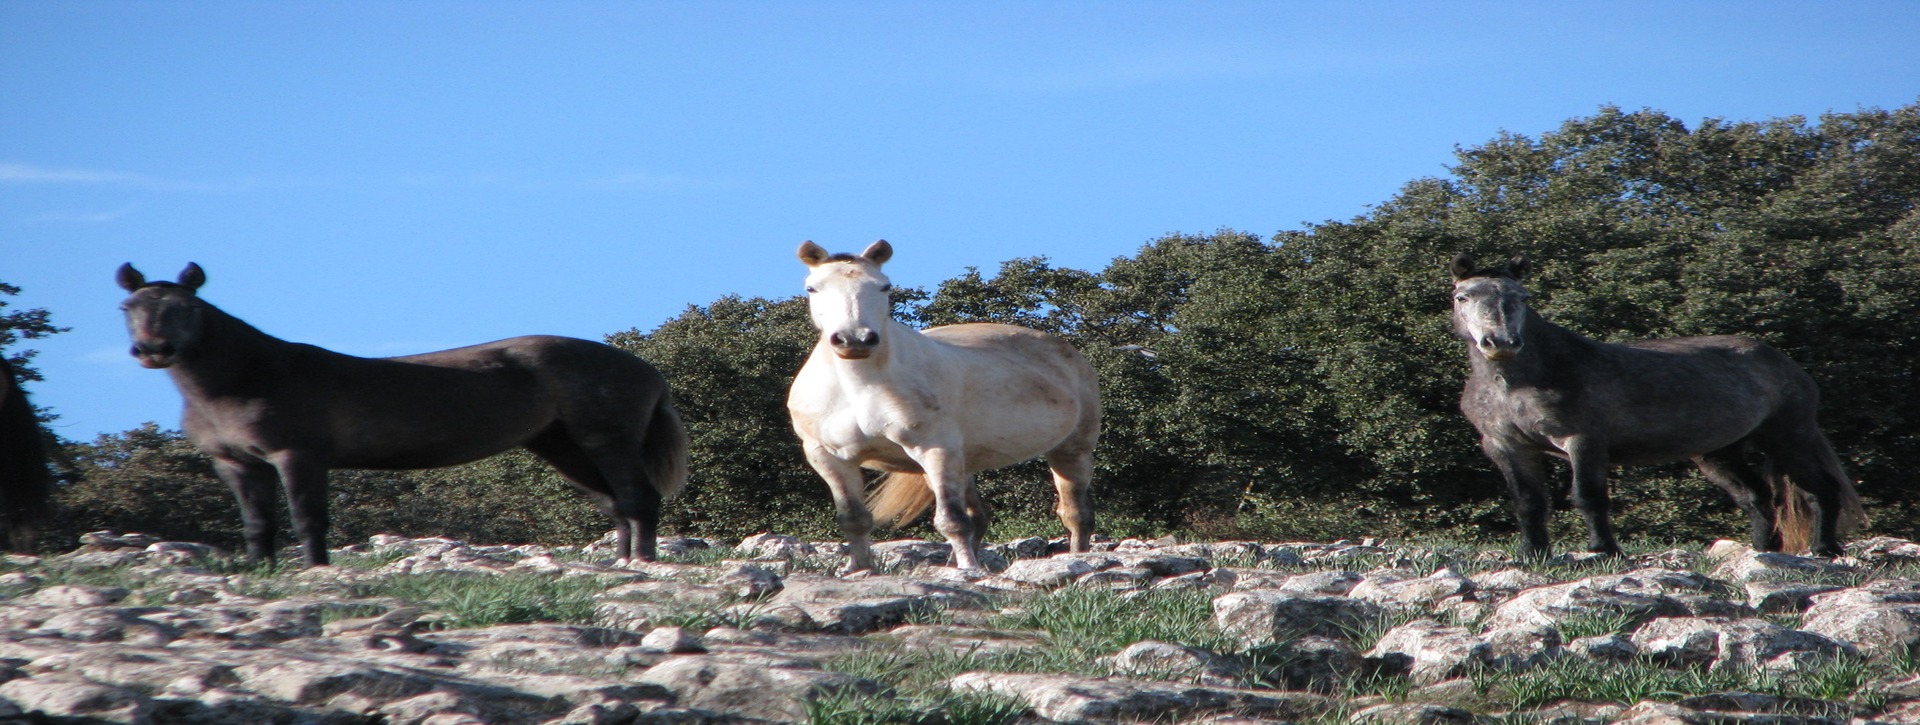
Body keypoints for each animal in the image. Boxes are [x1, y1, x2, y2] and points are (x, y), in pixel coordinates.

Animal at [120, 262, 691, 567]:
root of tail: (648, 370)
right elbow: (257, 523)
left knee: (637, 499)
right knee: (617, 504)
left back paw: (641, 565)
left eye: (187, 308)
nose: (153, 350)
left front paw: (315, 570)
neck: (248, 376)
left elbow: (307, 517)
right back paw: (621, 562)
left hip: (605, 438)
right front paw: (262, 571)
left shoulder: (298, 455)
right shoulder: (237, 463)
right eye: (128, 308)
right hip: (561, 445)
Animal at [787, 239, 1105, 571]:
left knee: (1076, 514)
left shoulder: (935, 450)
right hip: (964, 463)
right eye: (813, 288)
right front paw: (861, 569)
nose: (854, 340)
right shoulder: (828, 457)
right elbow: (854, 519)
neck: (859, 388)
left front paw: (969, 570)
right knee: (980, 519)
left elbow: (952, 521)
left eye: (884, 286)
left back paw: (1077, 558)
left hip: (1071, 451)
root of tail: (1068, 352)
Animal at [1451, 251, 1858, 556]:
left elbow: (1588, 497)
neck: (1517, 383)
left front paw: (1604, 551)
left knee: (1821, 489)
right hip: (1719, 453)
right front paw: (1532, 555)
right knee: (1757, 497)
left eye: (1523, 298)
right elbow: (1528, 502)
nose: (1501, 342)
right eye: (1463, 297)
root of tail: (1787, 365)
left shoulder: (1583, 441)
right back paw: (1762, 551)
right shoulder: (1506, 446)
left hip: (1787, 437)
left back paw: (1824, 549)